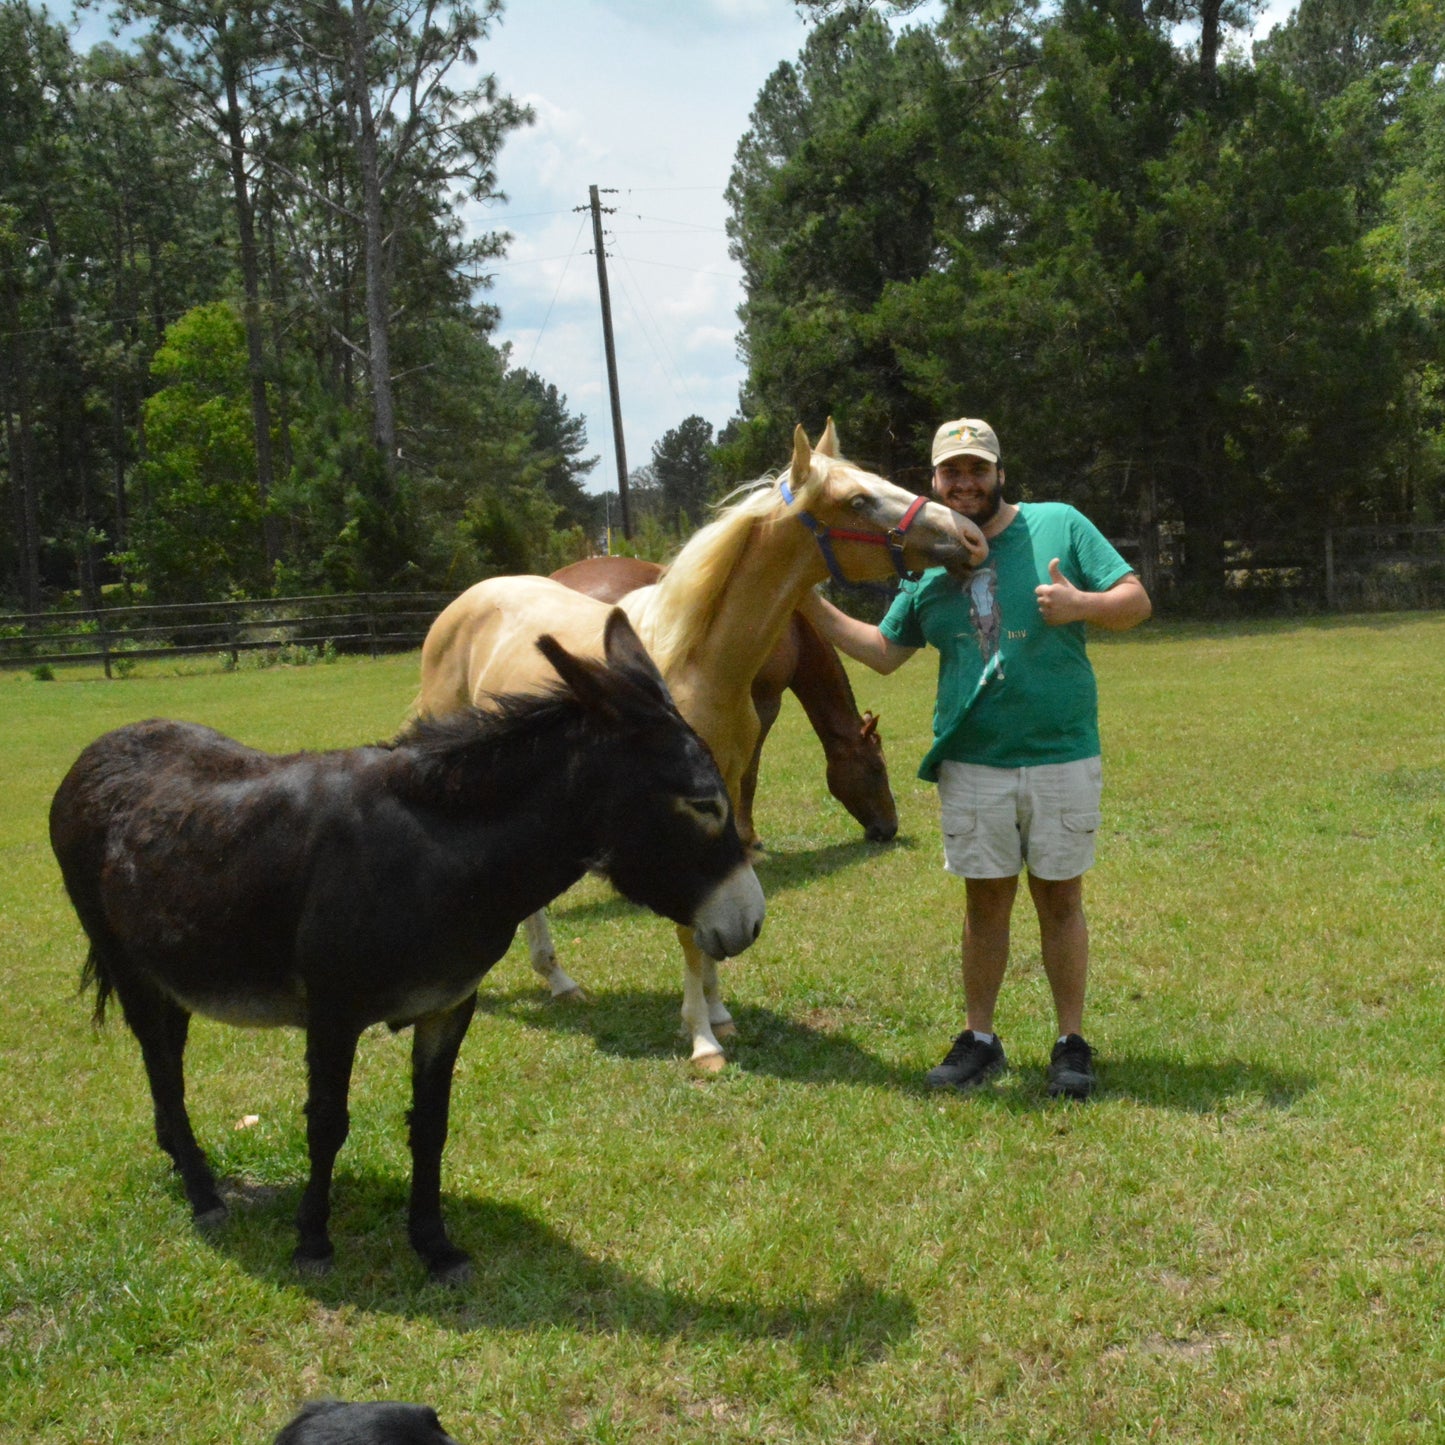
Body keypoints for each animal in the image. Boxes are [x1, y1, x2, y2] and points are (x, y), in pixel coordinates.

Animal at [50, 609, 762, 1277]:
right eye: (703, 804)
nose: (752, 922)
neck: (436, 857)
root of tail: (99, 747)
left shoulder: (448, 1008)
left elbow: (431, 1125)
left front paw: (434, 1245)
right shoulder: (332, 1013)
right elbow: (326, 1123)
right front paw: (313, 1241)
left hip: (169, 970)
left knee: (165, 1062)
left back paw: (182, 1162)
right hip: (125, 962)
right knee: (163, 1069)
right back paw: (202, 1195)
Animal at [549, 551, 895, 843]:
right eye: (876, 769)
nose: (889, 828)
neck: (791, 627)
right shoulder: (765, 702)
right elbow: (749, 774)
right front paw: (748, 836)